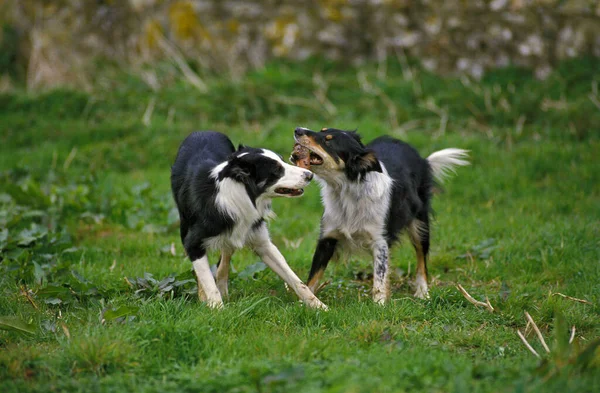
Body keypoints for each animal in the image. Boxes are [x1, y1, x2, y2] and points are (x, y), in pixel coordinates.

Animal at [169, 132, 328, 310]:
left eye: (282, 160)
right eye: (277, 170)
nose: (310, 175)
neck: (239, 195)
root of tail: (202, 131)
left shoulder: (262, 242)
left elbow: (295, 279)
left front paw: (320, 307)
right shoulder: (193, 244)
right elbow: (208, 281)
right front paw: (218, 309)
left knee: (224, 260)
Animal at [292, 127, 472, 302]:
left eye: (328, 141)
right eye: (321, 131)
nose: (298, 129)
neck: (348, 192)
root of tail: (423, 160)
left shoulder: (380, 242)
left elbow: (380, 277)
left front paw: (379, 305)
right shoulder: (327, 238)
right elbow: (313, 277)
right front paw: (307, 302)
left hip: (420, 225)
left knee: (422, 259)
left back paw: (422, 292)